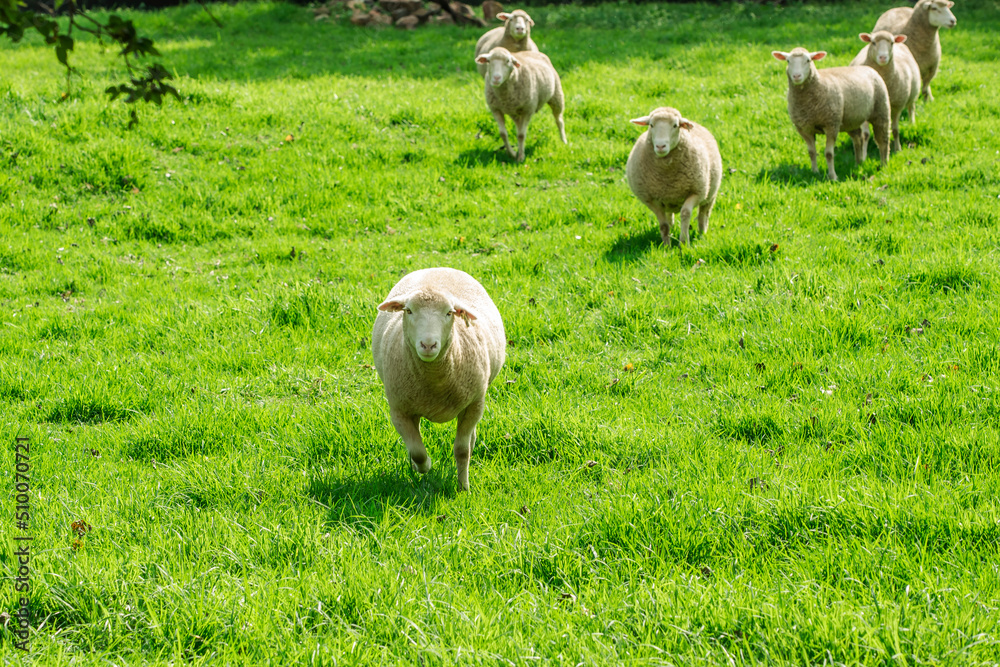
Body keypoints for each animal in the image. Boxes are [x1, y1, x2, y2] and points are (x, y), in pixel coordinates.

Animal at [371, 267, 506, 491]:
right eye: (408, 311)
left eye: (449, 313)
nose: (428, 345)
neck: (435, 381)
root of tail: (436, 268)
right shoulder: (399, 411)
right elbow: (417, 452)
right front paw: (424, 467)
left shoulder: (473, 405)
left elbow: (462, 451)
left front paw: (463, 488)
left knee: (470, 438)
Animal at [625, 107, 722, 247]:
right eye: (651, 125)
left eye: (675, 125)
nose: (660, 146)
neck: (667, 174)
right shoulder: (651, 200)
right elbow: (663, 224)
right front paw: (666, 246)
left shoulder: (697, 192)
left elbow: (685, 213)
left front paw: (684, 242)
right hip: (668, 200)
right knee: (669, 217)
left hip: (710, 194)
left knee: (703, 214)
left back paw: (702, 233)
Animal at [772, 48, 891, 181]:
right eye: (788, 61)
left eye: (808, 60)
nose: (796, 76)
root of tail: (867, 68)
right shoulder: (804, 128)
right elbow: (811, 152)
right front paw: (815, 172)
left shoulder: (831, 125)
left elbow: (829, 154)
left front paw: (833, 177)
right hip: (851, 120)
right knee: (858, 138)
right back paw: (858, 163)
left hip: (881, 111)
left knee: (883, 140)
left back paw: (884, 164)